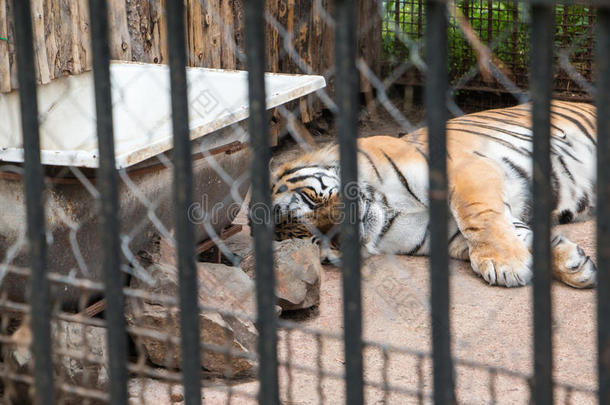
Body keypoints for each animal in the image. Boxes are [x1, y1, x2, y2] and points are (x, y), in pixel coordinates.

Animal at [268, 100, 596, 288]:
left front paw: (506, 265)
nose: (342, 230)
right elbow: (511, 232)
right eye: (315, 240)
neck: (388, 209)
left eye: (313, 199)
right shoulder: (443, 232)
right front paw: (574, 265)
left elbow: (480, 219)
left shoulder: (464, 169)